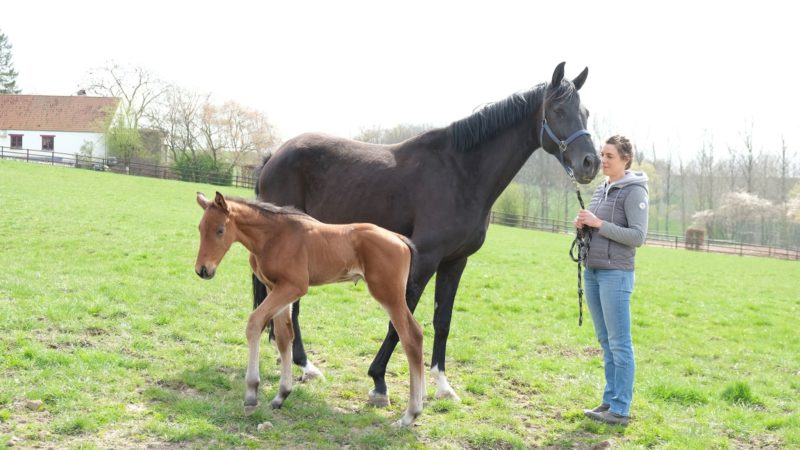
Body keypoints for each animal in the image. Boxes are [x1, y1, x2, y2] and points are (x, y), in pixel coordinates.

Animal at [194, 192, 424, 428]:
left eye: (220, 230)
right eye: (200, 228)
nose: (203, 270)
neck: (274, 237)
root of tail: (400, 239)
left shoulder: (293, 287)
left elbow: (255, 323)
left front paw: (251, 395)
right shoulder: (275, 288)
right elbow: (284, 336)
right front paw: (281, 395)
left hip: (388, 295)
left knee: (411, 336)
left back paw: (409, 415)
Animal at [253, 62, 596, 404]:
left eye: (586, 112)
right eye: (558, 110)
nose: (589, 163)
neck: (462, 173)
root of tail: (275, 155)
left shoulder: (455, 262)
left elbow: (442, 321)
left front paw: (443, 385)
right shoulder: (425, 258)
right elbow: (401, 320)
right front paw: (379, 381)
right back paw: (305, 365)